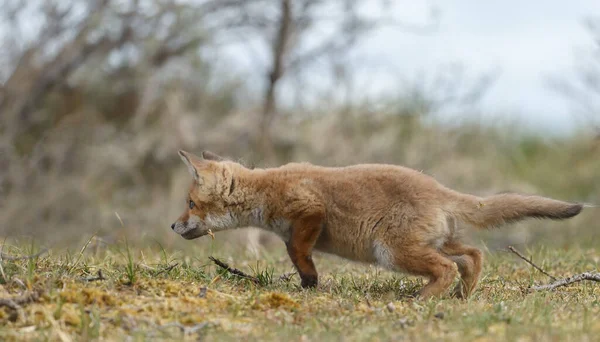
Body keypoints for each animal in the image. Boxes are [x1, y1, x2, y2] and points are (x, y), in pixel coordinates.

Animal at [171, 151, 584, 298]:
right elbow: (296, 254)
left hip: (394, 252)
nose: (174, 227)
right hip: (436, 243)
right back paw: (463, 296)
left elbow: (298, 251)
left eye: (190, 204)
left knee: (447, 267)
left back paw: (423, 300)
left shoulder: (310, 212)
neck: (267, 189)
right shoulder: (297, 226)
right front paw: (308, 283)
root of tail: (438, 188)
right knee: (473, 256)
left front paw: (310, 282)